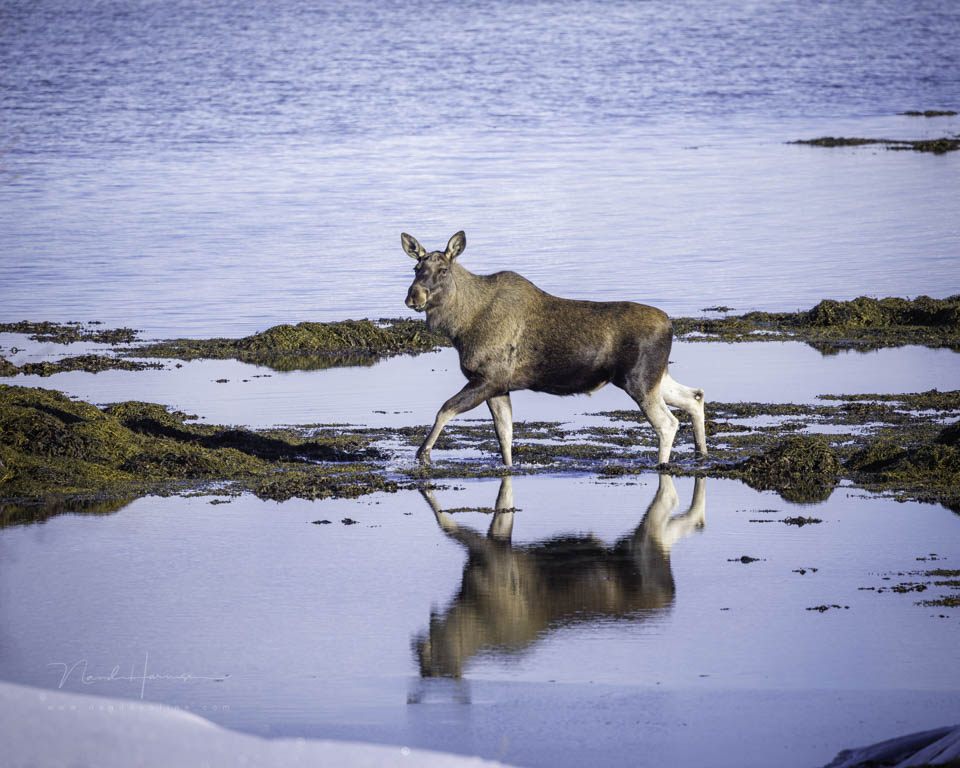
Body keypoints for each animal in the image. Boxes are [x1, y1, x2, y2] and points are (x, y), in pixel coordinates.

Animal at [402, 231, 708, 464]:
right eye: (416, 269)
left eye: (443, 270)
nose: (414, 297)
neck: (460, 327)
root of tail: (669, 326)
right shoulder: (499, 386)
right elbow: (505, 437)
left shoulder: (488, 379)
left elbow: (445, 410)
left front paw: (423, 453)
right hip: (655, 377)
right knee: (695, 396)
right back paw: (701, 453)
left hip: (639, 380)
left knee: (668, 423)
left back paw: (662, 465)